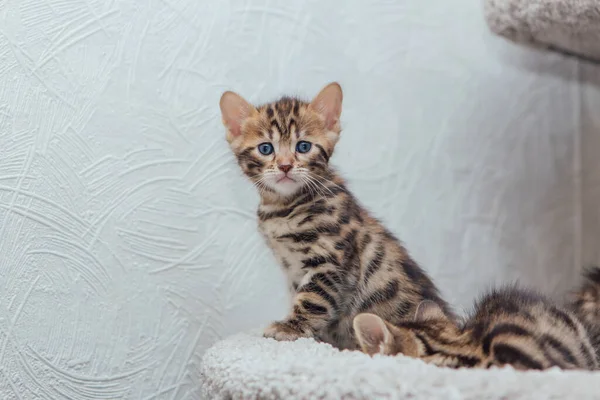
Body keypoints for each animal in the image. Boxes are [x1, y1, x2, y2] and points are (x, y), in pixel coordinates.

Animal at [219, 83, 450, 348]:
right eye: (265, 148)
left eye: (303, 146)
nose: (286, 166)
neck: (284, 207)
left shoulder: (330, 260)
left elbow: (313, 299)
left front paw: (290, 327)